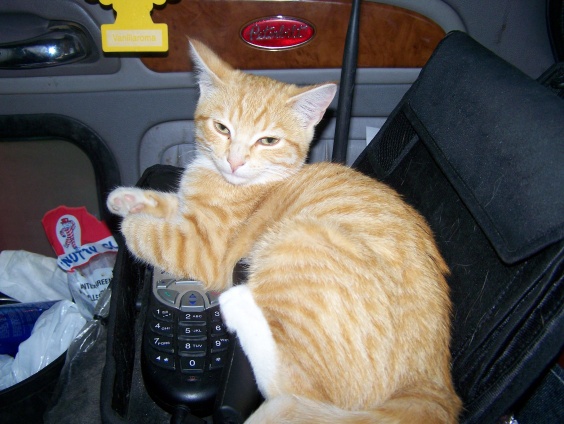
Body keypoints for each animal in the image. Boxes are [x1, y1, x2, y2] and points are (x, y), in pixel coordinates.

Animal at [107, 39, 462, 423]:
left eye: (268, 141)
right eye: (222, 128)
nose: (234, 161)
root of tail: (431, 385)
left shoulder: (204, 250)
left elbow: (154, 236)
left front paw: (129, 223)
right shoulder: (189, 213)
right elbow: (169, 203)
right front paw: (126, 198)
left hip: (298, 238)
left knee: (291, 392)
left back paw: (240, 304)